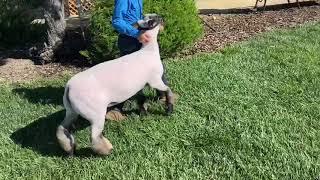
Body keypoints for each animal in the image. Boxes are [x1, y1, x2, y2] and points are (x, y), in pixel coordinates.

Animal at [56, 16, 174, 155]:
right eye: (150, 21)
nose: (160, 17)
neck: (148, 51)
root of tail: (69, 87)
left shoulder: (139, 86)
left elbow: (141, 99)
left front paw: (144, 114)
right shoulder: (154, 80)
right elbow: (167, 90)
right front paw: (169, 109)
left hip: (71, 111)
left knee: (61, 128)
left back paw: (69, 150)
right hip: (95, 113)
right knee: (94, 136)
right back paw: (108, 151)